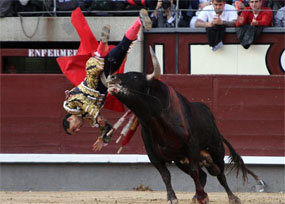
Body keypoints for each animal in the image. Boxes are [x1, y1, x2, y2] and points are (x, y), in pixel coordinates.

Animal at [104, 48, 258, 204]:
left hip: (216, 150)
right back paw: (196, 197)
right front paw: (172, 198)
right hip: (182, 161)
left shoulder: (192, 147)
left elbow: (195, 172)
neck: (156, 120)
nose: (112, 77)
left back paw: (232, 197)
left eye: (135, 76)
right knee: (203, 174)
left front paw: (202, 196)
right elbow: (166, 175)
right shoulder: (153, 155)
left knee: (219, 173)